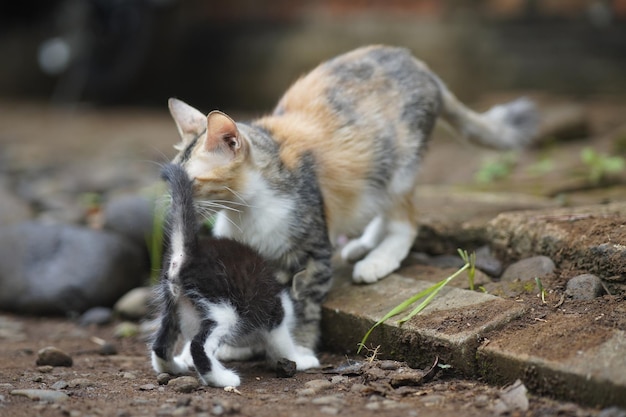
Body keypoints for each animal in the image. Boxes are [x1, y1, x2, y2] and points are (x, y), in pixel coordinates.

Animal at [149, 162, 320, 386]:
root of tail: (187, 254)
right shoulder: (275, 318)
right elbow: (283, 346)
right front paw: (302, 360)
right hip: (223, 309)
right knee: (198, 345)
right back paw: (222, 379)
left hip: (173, 306)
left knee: (160, 344)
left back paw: (173, 368)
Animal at [165, 44, 536, 348]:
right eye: (172, 179)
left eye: (192, 182)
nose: (173, 207)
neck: (246, 210)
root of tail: (419, 64)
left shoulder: (314, 251)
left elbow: (304, 304)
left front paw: (299, 347)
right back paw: (364, 244)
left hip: (397, 168)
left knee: (406, 221)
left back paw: (378, 260)